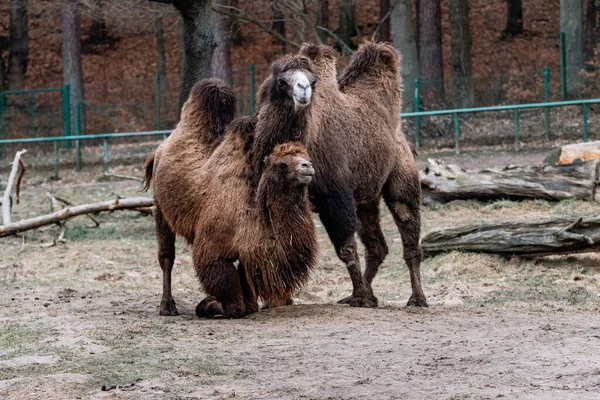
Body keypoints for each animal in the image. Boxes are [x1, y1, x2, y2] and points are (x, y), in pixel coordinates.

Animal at [251, 42, 428, 308]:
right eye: (281, 82)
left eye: (313, 81)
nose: (303, 90)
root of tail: (399, 133)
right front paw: (279, 300)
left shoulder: (334, 193)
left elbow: (346, 248)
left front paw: (364, 296)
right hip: (366, 197)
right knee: (377, 246)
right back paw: (358, 293)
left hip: (401, 177)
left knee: (408, 230)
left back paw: (416, 298)